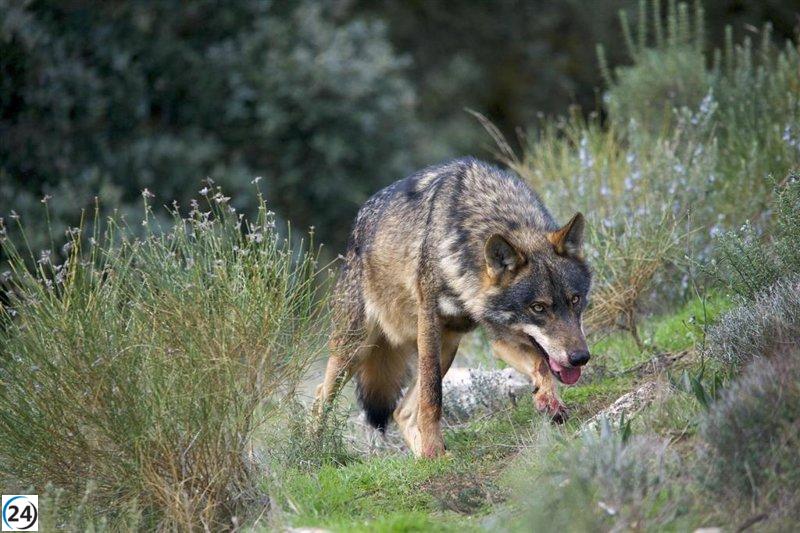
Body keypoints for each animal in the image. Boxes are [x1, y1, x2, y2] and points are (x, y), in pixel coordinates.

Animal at [314, 157, 592, 458]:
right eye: (538, 308)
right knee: (320, 396)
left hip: (447, 346)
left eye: (575, 300)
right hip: (356, 349)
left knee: (402, 412)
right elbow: (432, 397)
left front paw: (549, 400)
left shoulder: (500, 336)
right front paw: (433, 448)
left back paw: (424, 458)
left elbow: (541, 364)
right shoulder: (429, 323)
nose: (580, 358)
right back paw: (313, 449)